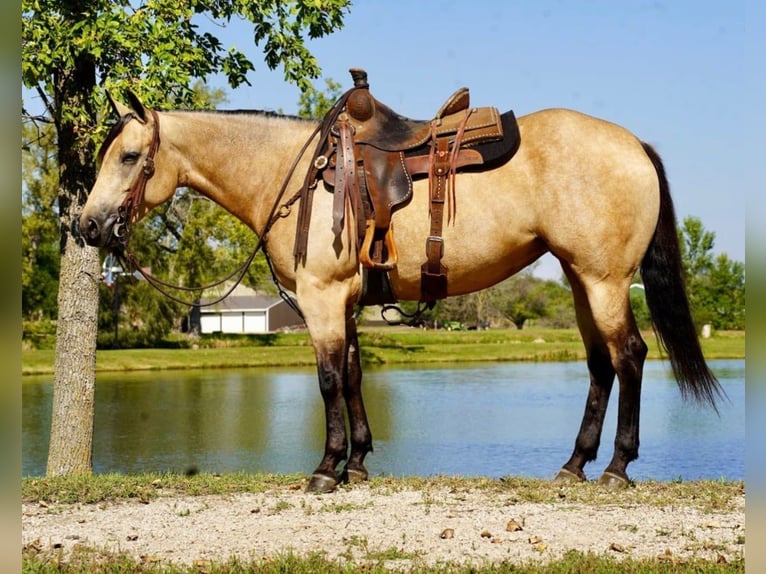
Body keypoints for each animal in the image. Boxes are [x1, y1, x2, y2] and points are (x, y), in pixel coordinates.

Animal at [79, 88, 722, 493]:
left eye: (130, 157)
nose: (86, 225)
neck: (295, 175)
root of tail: (634, 144)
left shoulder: (321, 297)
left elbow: (328, 379)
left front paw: (326, 468)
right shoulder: (343, 302)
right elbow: (354, 375)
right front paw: (358, 463)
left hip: (604, 280)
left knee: (629, 356)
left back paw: (616, 467)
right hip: (580, 279)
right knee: (599, 365)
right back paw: (574, 464)